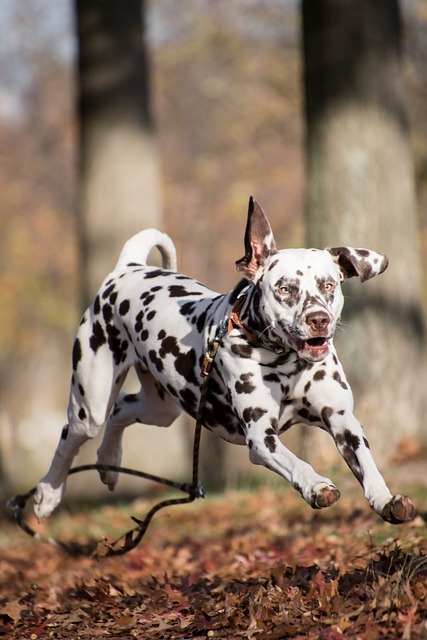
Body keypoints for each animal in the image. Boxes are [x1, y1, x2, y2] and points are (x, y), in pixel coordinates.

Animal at [35, 196, 416, 524]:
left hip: (162, 409)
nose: (318, 319)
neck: (286, 364)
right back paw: (47, 496)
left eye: (328, 285)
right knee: (72, 434)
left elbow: (367, 465)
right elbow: (296, 462)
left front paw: (385, 499)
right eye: (285, 288)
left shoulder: (342, 421)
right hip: (90, 406)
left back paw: (108, 461)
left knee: (122, 409)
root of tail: (128, 269)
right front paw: (316, 485)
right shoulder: (262, 438)